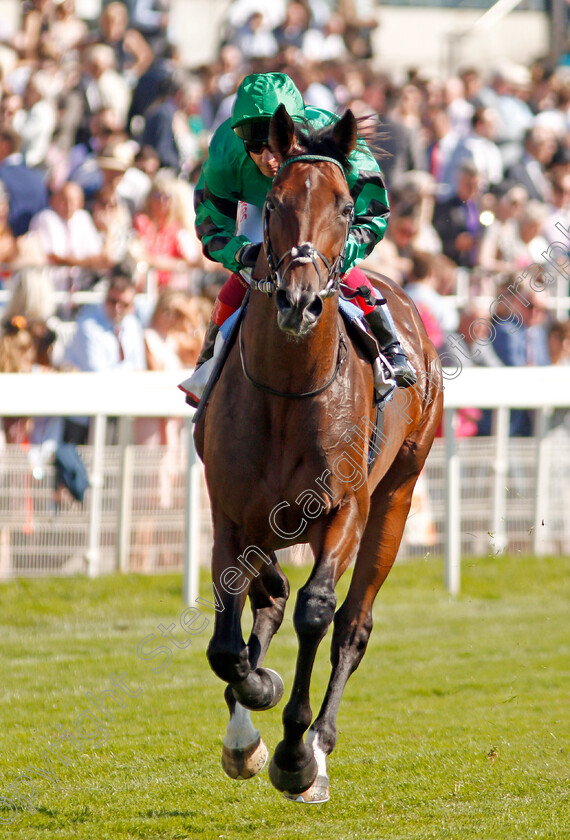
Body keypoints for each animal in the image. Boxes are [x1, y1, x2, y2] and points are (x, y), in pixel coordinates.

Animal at [193, 103, 442, 800]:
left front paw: (294, 754)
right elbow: (229, 641)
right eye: (274, 202)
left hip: (398, 495)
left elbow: (316, 612)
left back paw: (320, 749)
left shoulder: (345, 508)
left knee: (352, 626)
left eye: (345, 204)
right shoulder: (231, 512)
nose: (300, 302)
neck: (287, 390)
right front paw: (249, 721)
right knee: (268, 598)